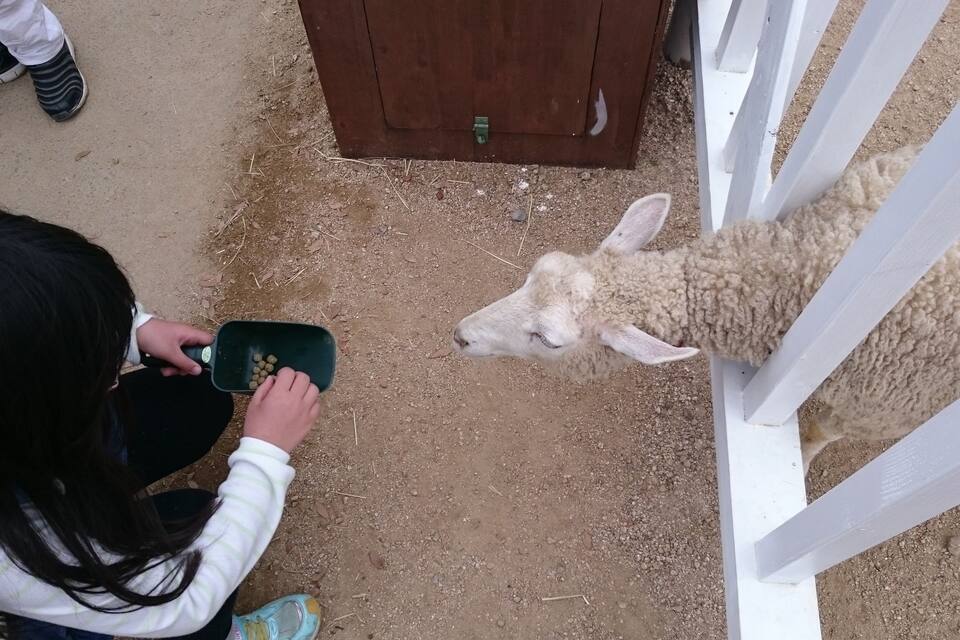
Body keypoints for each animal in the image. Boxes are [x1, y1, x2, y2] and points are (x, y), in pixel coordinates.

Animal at [453, 146, 960, 472]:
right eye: (533, 272)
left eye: (548, 339)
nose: (460, 334)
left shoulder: (880, 408)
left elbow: (818, 433)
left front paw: (801, 462)